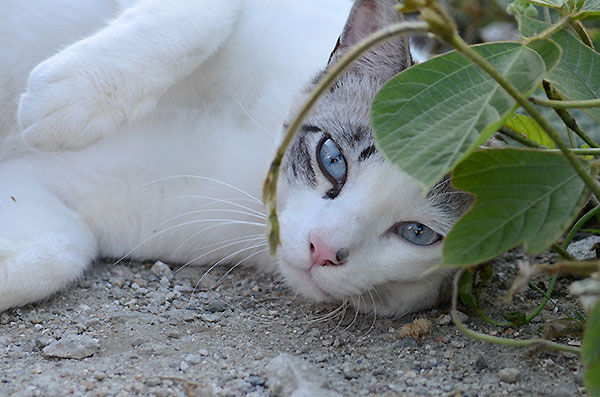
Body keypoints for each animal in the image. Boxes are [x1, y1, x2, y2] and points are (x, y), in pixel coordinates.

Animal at [0, 0, 468, 316]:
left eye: (417, 233)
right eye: (333, 159)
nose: (321, 249)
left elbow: (55, 253)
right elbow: (207, 14)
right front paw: (66, 101)